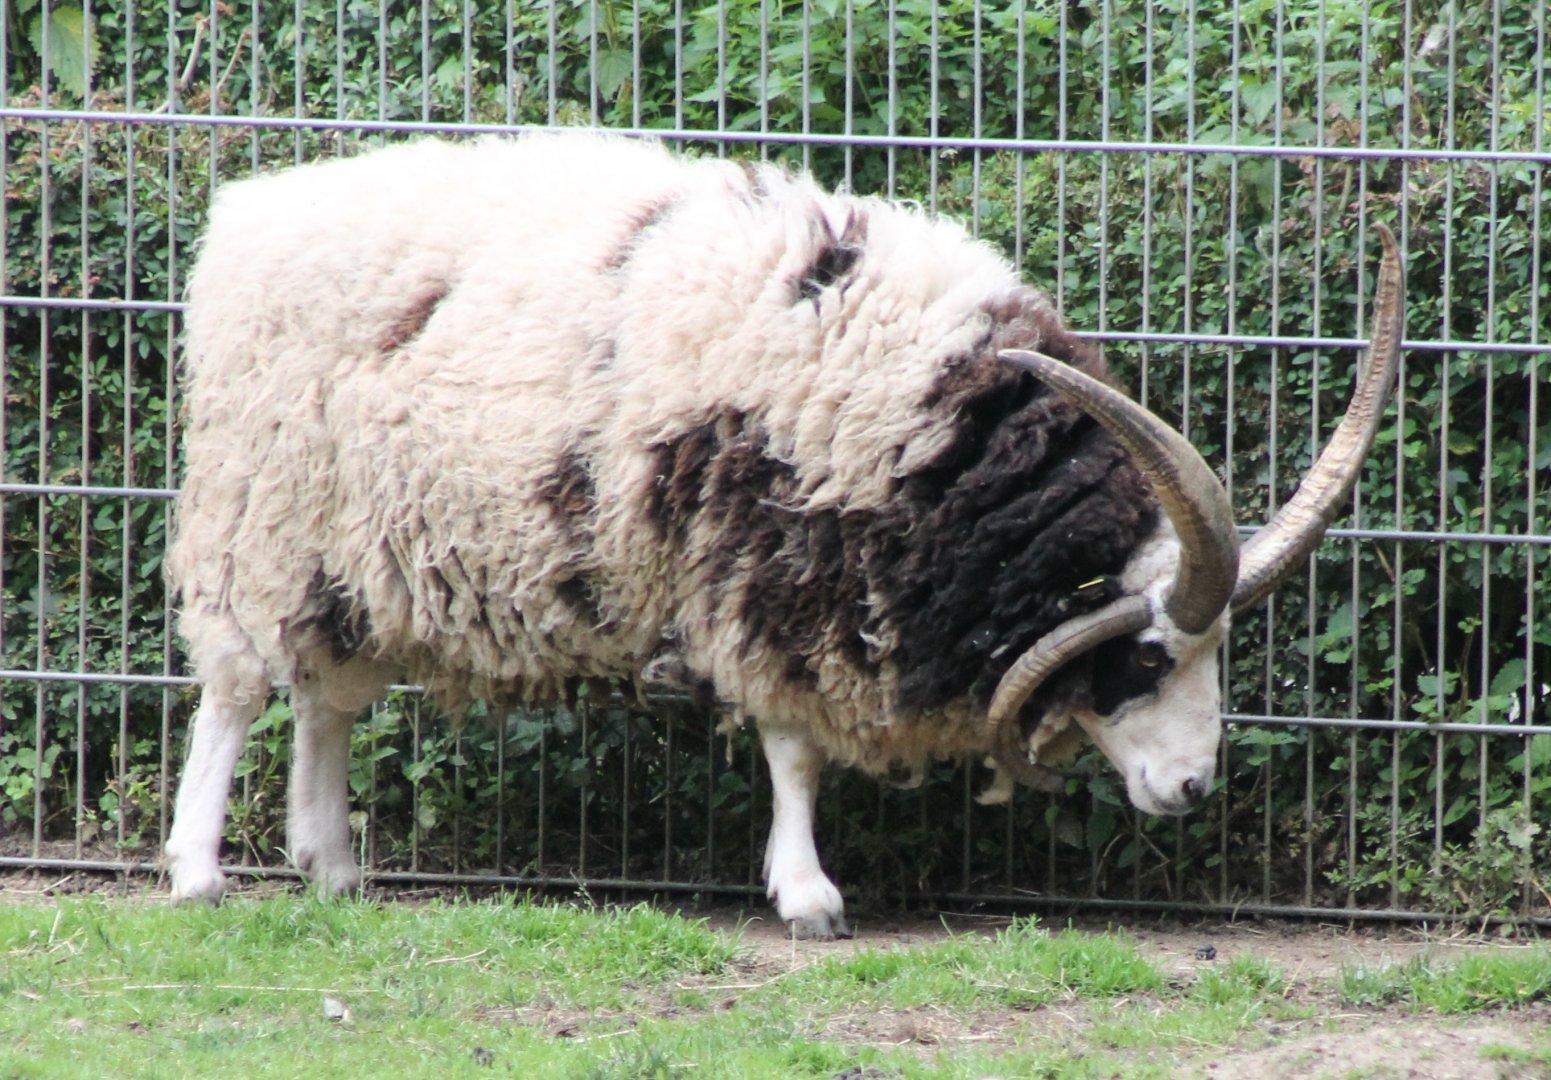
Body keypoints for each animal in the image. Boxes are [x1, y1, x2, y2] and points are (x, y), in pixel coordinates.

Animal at [163, 132, 1403, 938]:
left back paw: (331, 868)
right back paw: (197, 874)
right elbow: (795, 750)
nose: (1191, 789)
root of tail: (243, 221)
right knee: (236, 690)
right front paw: (809, 899)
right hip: (255, 516)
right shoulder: (767, 578)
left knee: (324, 697)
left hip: (348, 553)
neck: (937, 427)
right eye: (1145, 658)